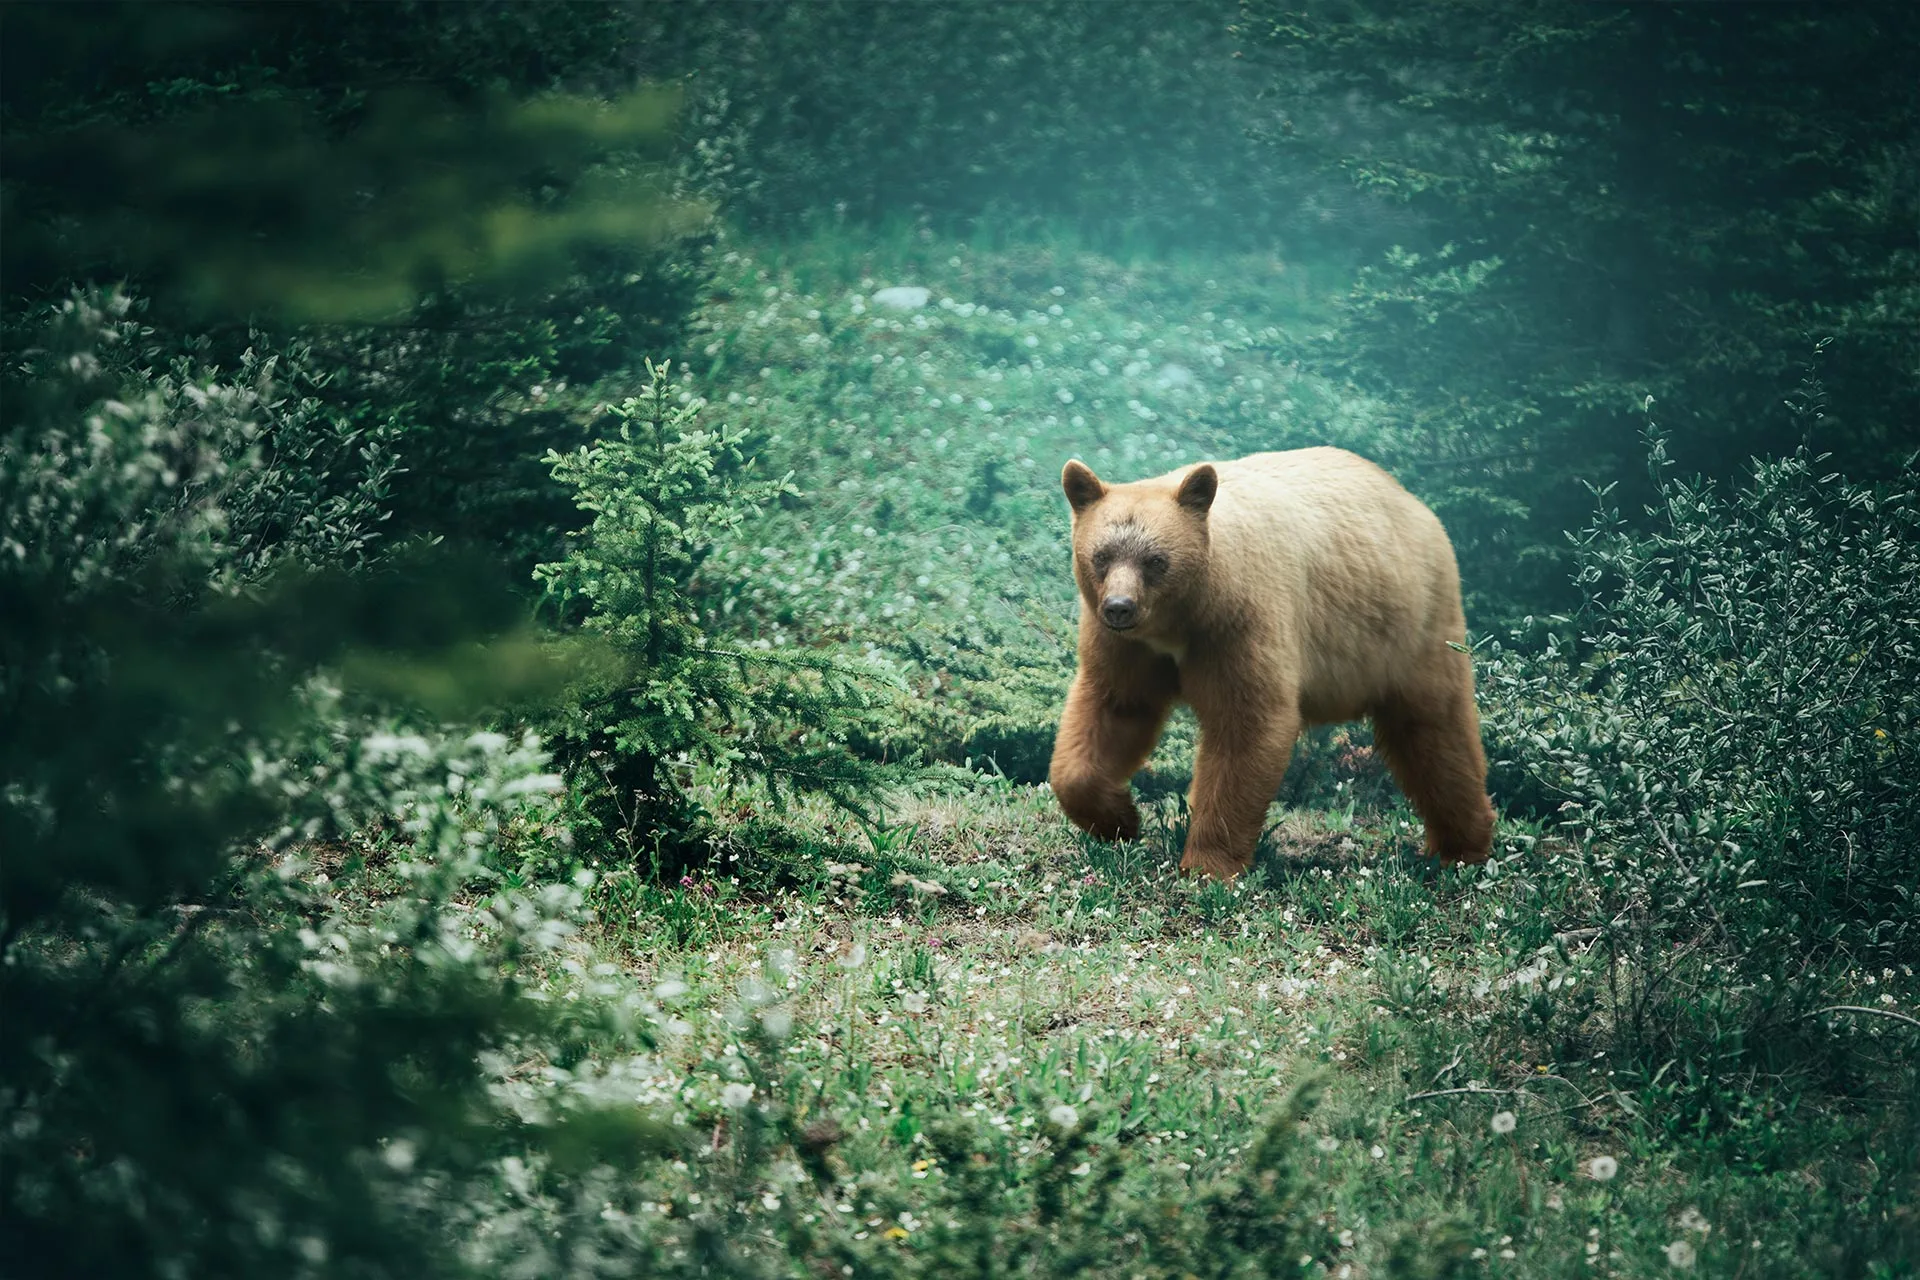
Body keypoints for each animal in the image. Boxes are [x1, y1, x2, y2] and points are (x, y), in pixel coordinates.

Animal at [1047, 448, 1494, 879]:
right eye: (1101, 556)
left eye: (1156, 560)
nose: (1119, 607)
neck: (1182, 620)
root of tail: (1416, 505)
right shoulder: (1127, 647)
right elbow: (1115, 707)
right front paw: (1119, 818)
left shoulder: (1240, 622)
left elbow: (1247, 723)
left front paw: (1207, 865)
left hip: (1413, 626)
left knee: (1434, 730)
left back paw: (1462, 848)